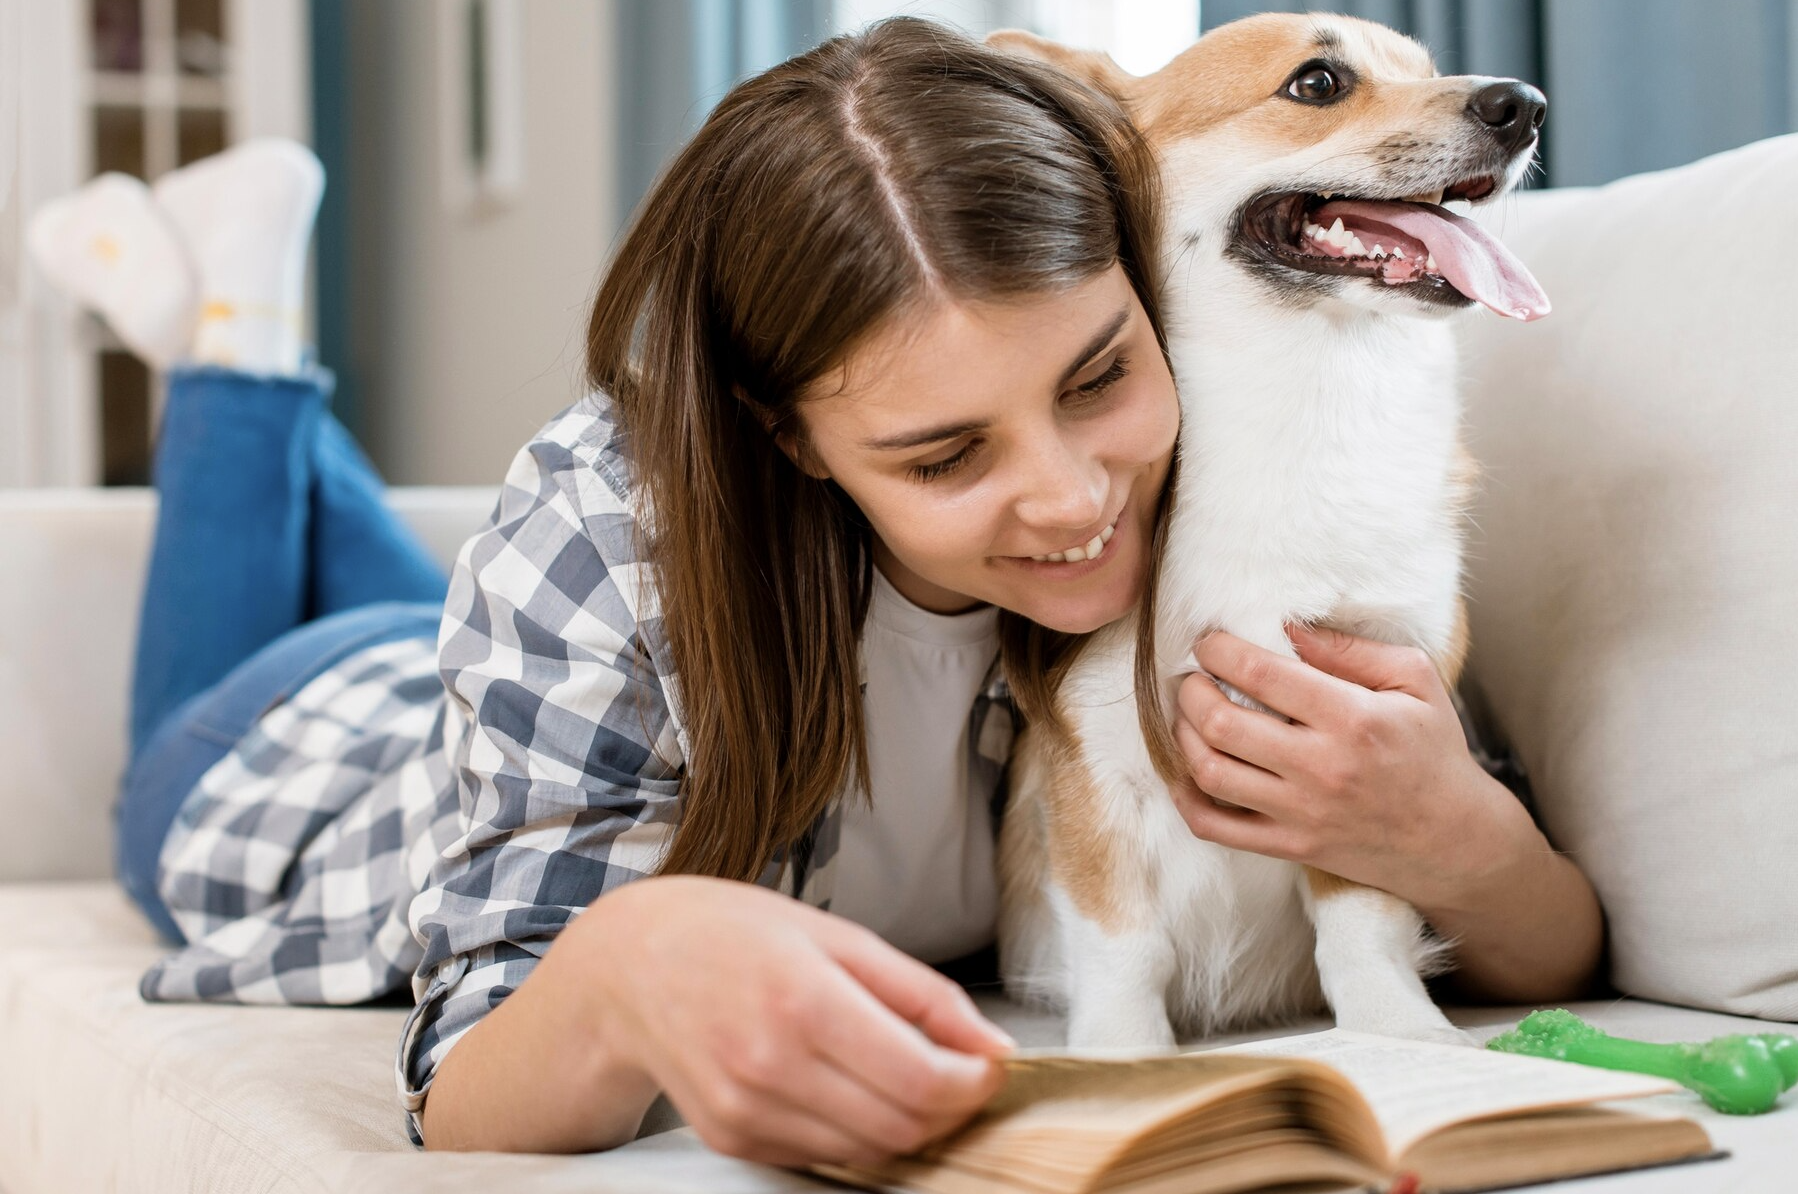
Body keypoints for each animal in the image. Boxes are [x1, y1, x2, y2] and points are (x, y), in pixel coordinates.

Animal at [985, 13, 1546, 1050]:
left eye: (1427, 66)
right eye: (1317, 82)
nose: (1522, 104)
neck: (1311, 396)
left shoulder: (1366, 753)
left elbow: (1361, 923)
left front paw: (1398, 1034)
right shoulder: (1092, 766)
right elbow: (1122, 943)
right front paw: (1125, 1057)